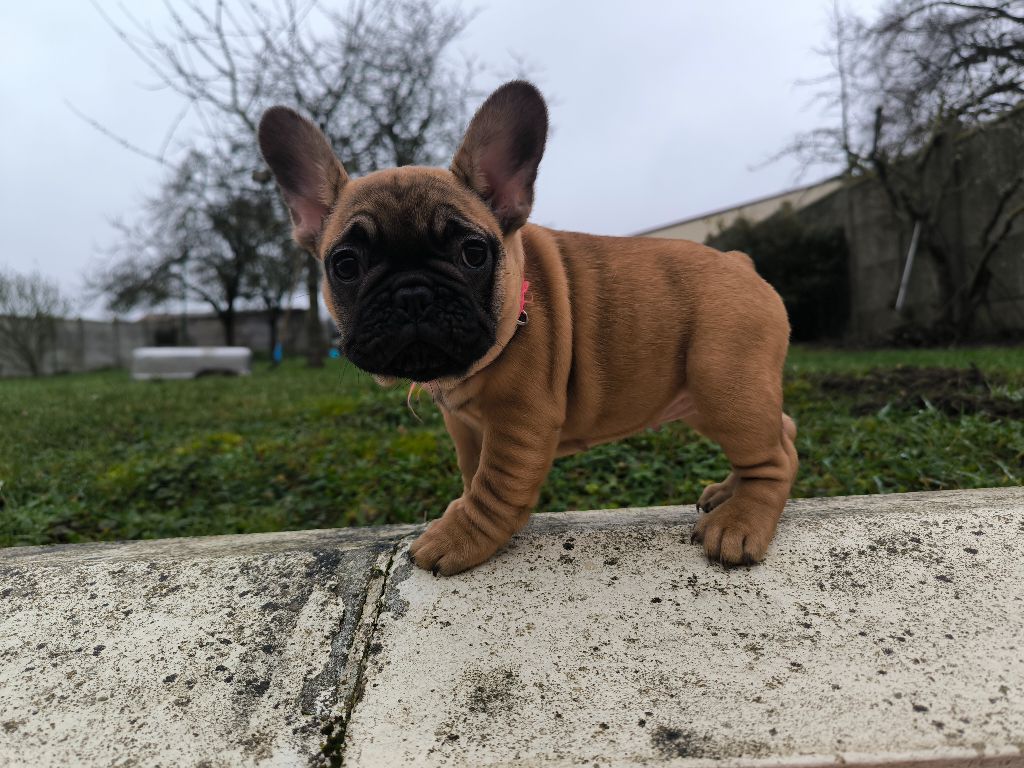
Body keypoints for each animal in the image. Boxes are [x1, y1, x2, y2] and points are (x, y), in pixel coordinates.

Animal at [258, 83, 798, 577]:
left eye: (473, 253)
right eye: (345, 265)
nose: (413, 293)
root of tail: (740, 262)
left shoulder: (521, 419)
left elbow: (494, 486)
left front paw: (457, 536)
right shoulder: (464, 424)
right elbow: (471, 471)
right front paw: (460, 508)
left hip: (723, 384)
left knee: (771, 458)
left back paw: (740, 520)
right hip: (707, 398)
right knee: (783, 434)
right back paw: (729, 491)